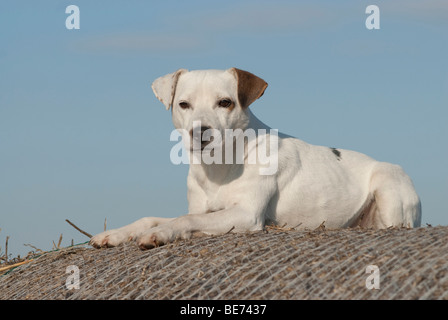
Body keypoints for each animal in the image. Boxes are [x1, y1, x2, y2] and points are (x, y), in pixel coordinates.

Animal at [89, 68, 422, 250]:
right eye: (183, 104)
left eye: (225, 102)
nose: (200, 132)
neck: (220, 166)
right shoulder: (203, 207)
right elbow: (154, 217)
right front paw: (115, 234)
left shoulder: (245, 214)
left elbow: (186, 220)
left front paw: (159, 234)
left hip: (388, 186)